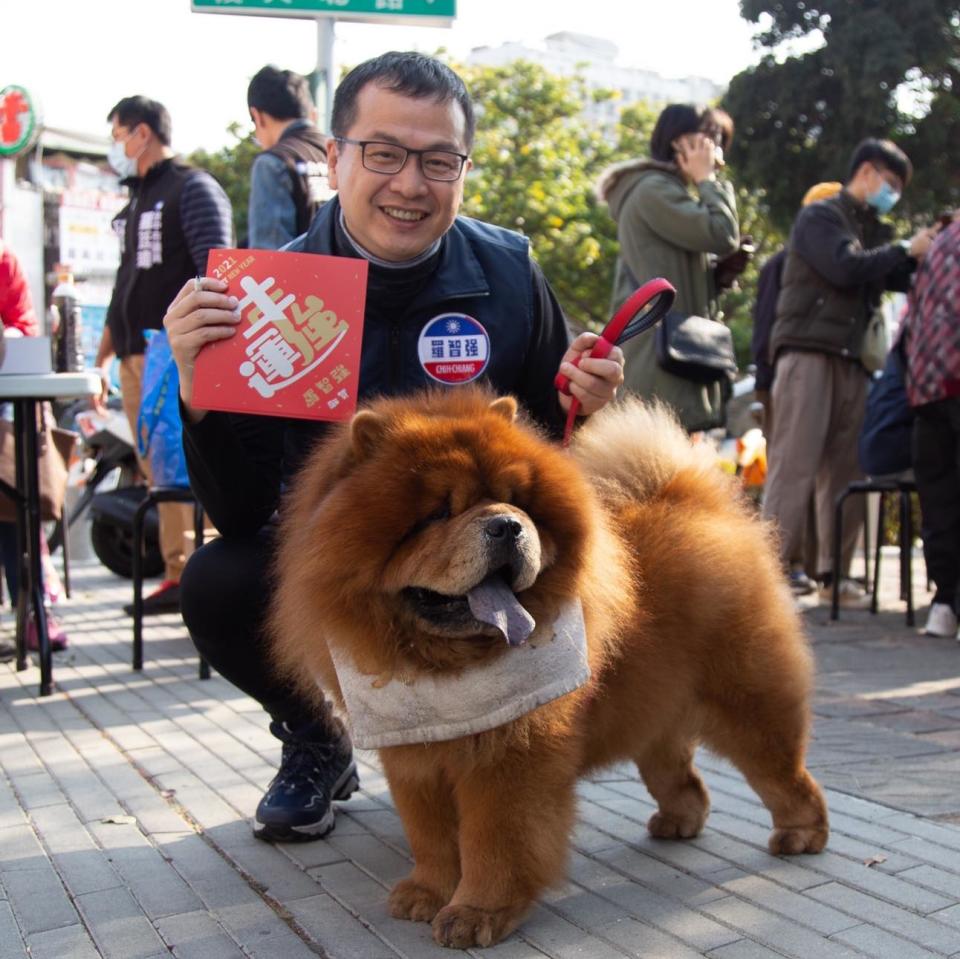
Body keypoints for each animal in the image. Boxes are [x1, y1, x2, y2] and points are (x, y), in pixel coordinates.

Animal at [268, 386, 824, 948]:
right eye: (438, 513)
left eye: (516, 500)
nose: (507, 525)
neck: (447, 666)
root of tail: (693, 499)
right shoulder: (413, 755)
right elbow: (430, 834)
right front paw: (425, 893)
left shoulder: (509, 757)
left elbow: (494, 839)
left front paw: (475, 913)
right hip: (653, 712)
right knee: (681, 775)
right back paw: (678, 821)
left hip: (746, 702)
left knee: (783, 773)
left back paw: (801, 834)